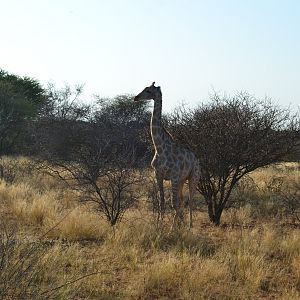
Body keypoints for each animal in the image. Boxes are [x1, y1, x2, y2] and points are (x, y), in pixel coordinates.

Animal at [134, 82, 199, 227]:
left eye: (148, 90)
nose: (136, 97)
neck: (159, 148)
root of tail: (196, 158)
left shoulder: (173, 176)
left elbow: (173, 204)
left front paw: (171, 229)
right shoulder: (157, 175)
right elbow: (162, 202)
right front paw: (159, 226)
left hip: (193, 177)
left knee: (190, 200)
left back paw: (190, 226)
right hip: (182, 180)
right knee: (182, 199)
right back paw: (182, 223)